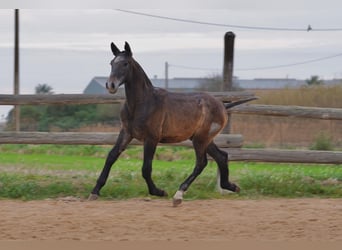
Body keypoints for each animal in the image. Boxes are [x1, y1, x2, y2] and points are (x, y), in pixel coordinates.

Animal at [89, 42, 255, 206]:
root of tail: (223, 106)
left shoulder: (152, 138)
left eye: (125, 63)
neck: (142, 103)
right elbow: (111, 157)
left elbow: (146, 168)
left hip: (201, 139)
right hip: (204, 139)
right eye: (111, 63)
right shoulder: (126, 133)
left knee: (201, 163)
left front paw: (159, 192)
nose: (110, 85)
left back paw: (178, 195)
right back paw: (232, 186)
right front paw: (95, 192)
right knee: (222, 156)